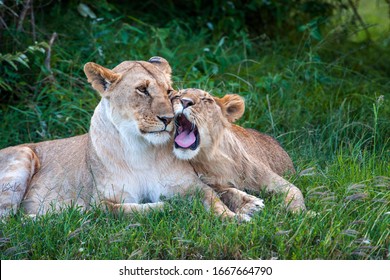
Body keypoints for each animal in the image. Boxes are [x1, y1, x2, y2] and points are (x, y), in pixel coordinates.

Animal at [0, 57, 238, 219]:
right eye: (142, 90)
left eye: (169, 91)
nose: (169, 119)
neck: (142, 149)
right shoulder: (101, 203)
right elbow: (128, 211)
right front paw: (169, 207)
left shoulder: (191, 185)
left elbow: (214, 199)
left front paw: (235, 219)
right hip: (23, 154)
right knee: (13, 222)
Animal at [172, 88, 306, 213]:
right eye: (177, 96)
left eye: (207, 100)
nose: (185, 102)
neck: (212, 158)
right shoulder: (208, 184)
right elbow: (227, 192)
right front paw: (249, 205)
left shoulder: (274, 180)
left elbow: (295, 192)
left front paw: (300, 213)